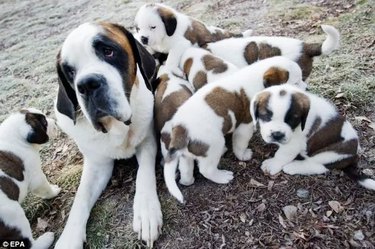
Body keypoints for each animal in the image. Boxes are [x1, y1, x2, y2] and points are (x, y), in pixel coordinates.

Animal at [0, 108, 60, 249]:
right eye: (44, 123)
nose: (55, 121)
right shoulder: (36, 177)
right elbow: (45, 188)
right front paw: (54, 191)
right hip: (14, 216)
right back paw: (46, 240)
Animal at [54, 22, 162, 248]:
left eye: (108, 51)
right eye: (70, 71)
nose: (86, 84)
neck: (115, 126)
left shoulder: (147, 141)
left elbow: (144, 173)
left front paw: (146, 210)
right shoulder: (97, 164)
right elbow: (80, 198)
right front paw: (69, 239)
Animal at [164, 56, 308, 202]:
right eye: (295, 83)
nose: (306, 88)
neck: (257, 77)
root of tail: (181, 128)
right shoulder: (245, 125)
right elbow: (240, 144)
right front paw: (243, 156)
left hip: (185, 154)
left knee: (186, 168)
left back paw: (188, 180)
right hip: (214, 144)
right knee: (206, 170)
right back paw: (222, 176)